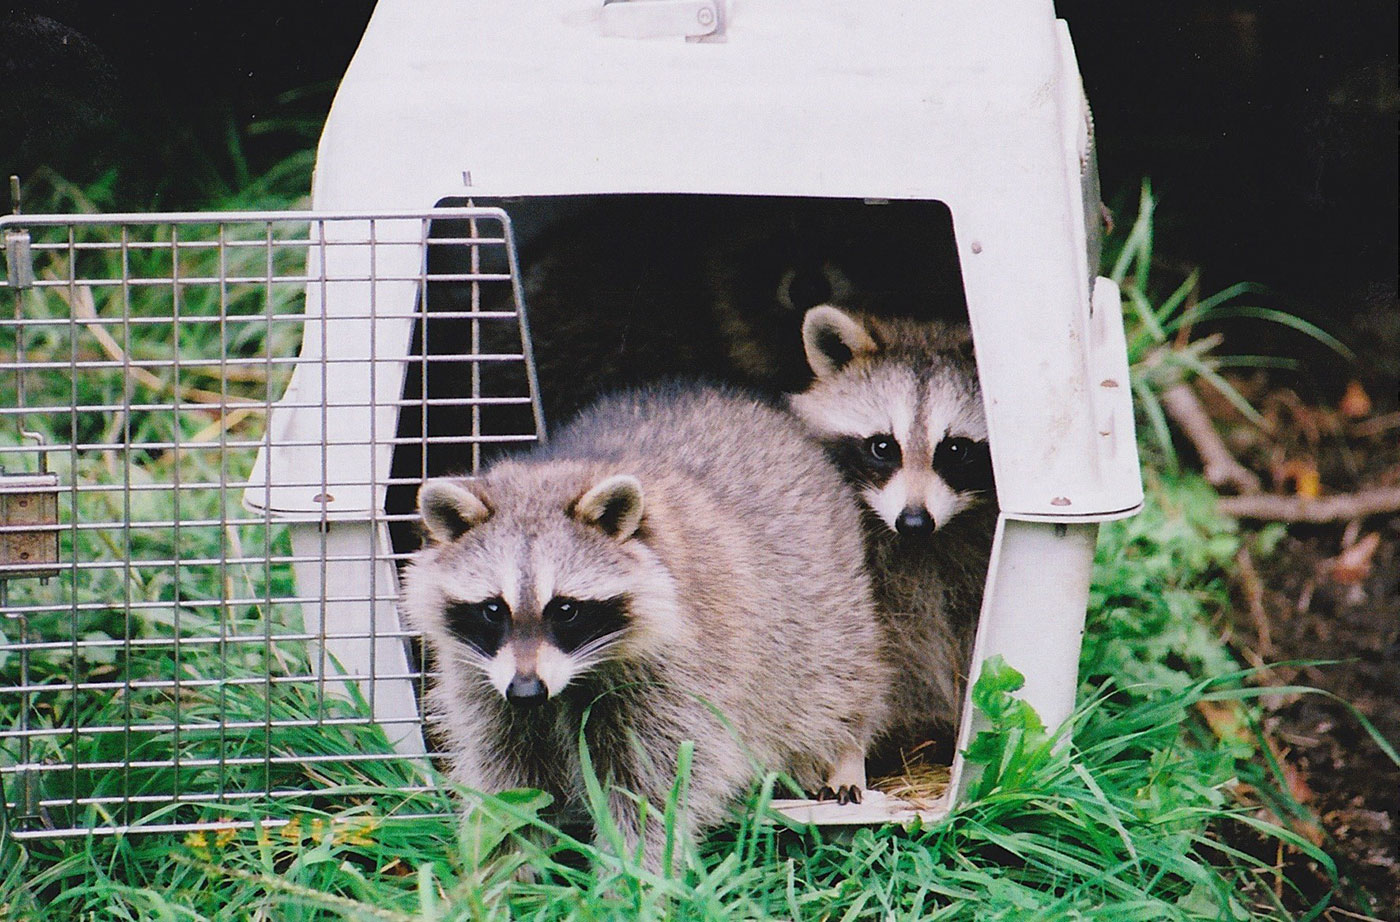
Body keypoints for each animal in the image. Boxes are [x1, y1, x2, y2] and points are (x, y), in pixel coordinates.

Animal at [400, 380, 890, 867]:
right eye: (493, 609)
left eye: (565, 609)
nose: (526, 692)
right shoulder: (481, 676)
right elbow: (507, 775)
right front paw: (507, 861)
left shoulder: (685, 666)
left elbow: (653, 780)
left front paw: (632, 868)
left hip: (821, 598)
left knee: (831, 680)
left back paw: (846, 748)